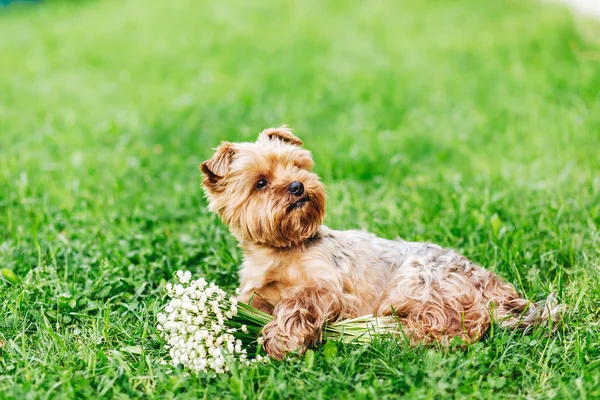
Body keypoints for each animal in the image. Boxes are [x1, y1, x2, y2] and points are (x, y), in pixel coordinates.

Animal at [199, 127, 560, 360]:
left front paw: (280, 338)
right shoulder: (252, 294)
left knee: (460, 324)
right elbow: (250, 308)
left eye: (297, 166)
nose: (298, 185)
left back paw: (390, 334)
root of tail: (491, 283)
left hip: (416, 280)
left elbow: (299, 302)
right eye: (260, 183)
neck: (281, 249)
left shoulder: (331, 291)